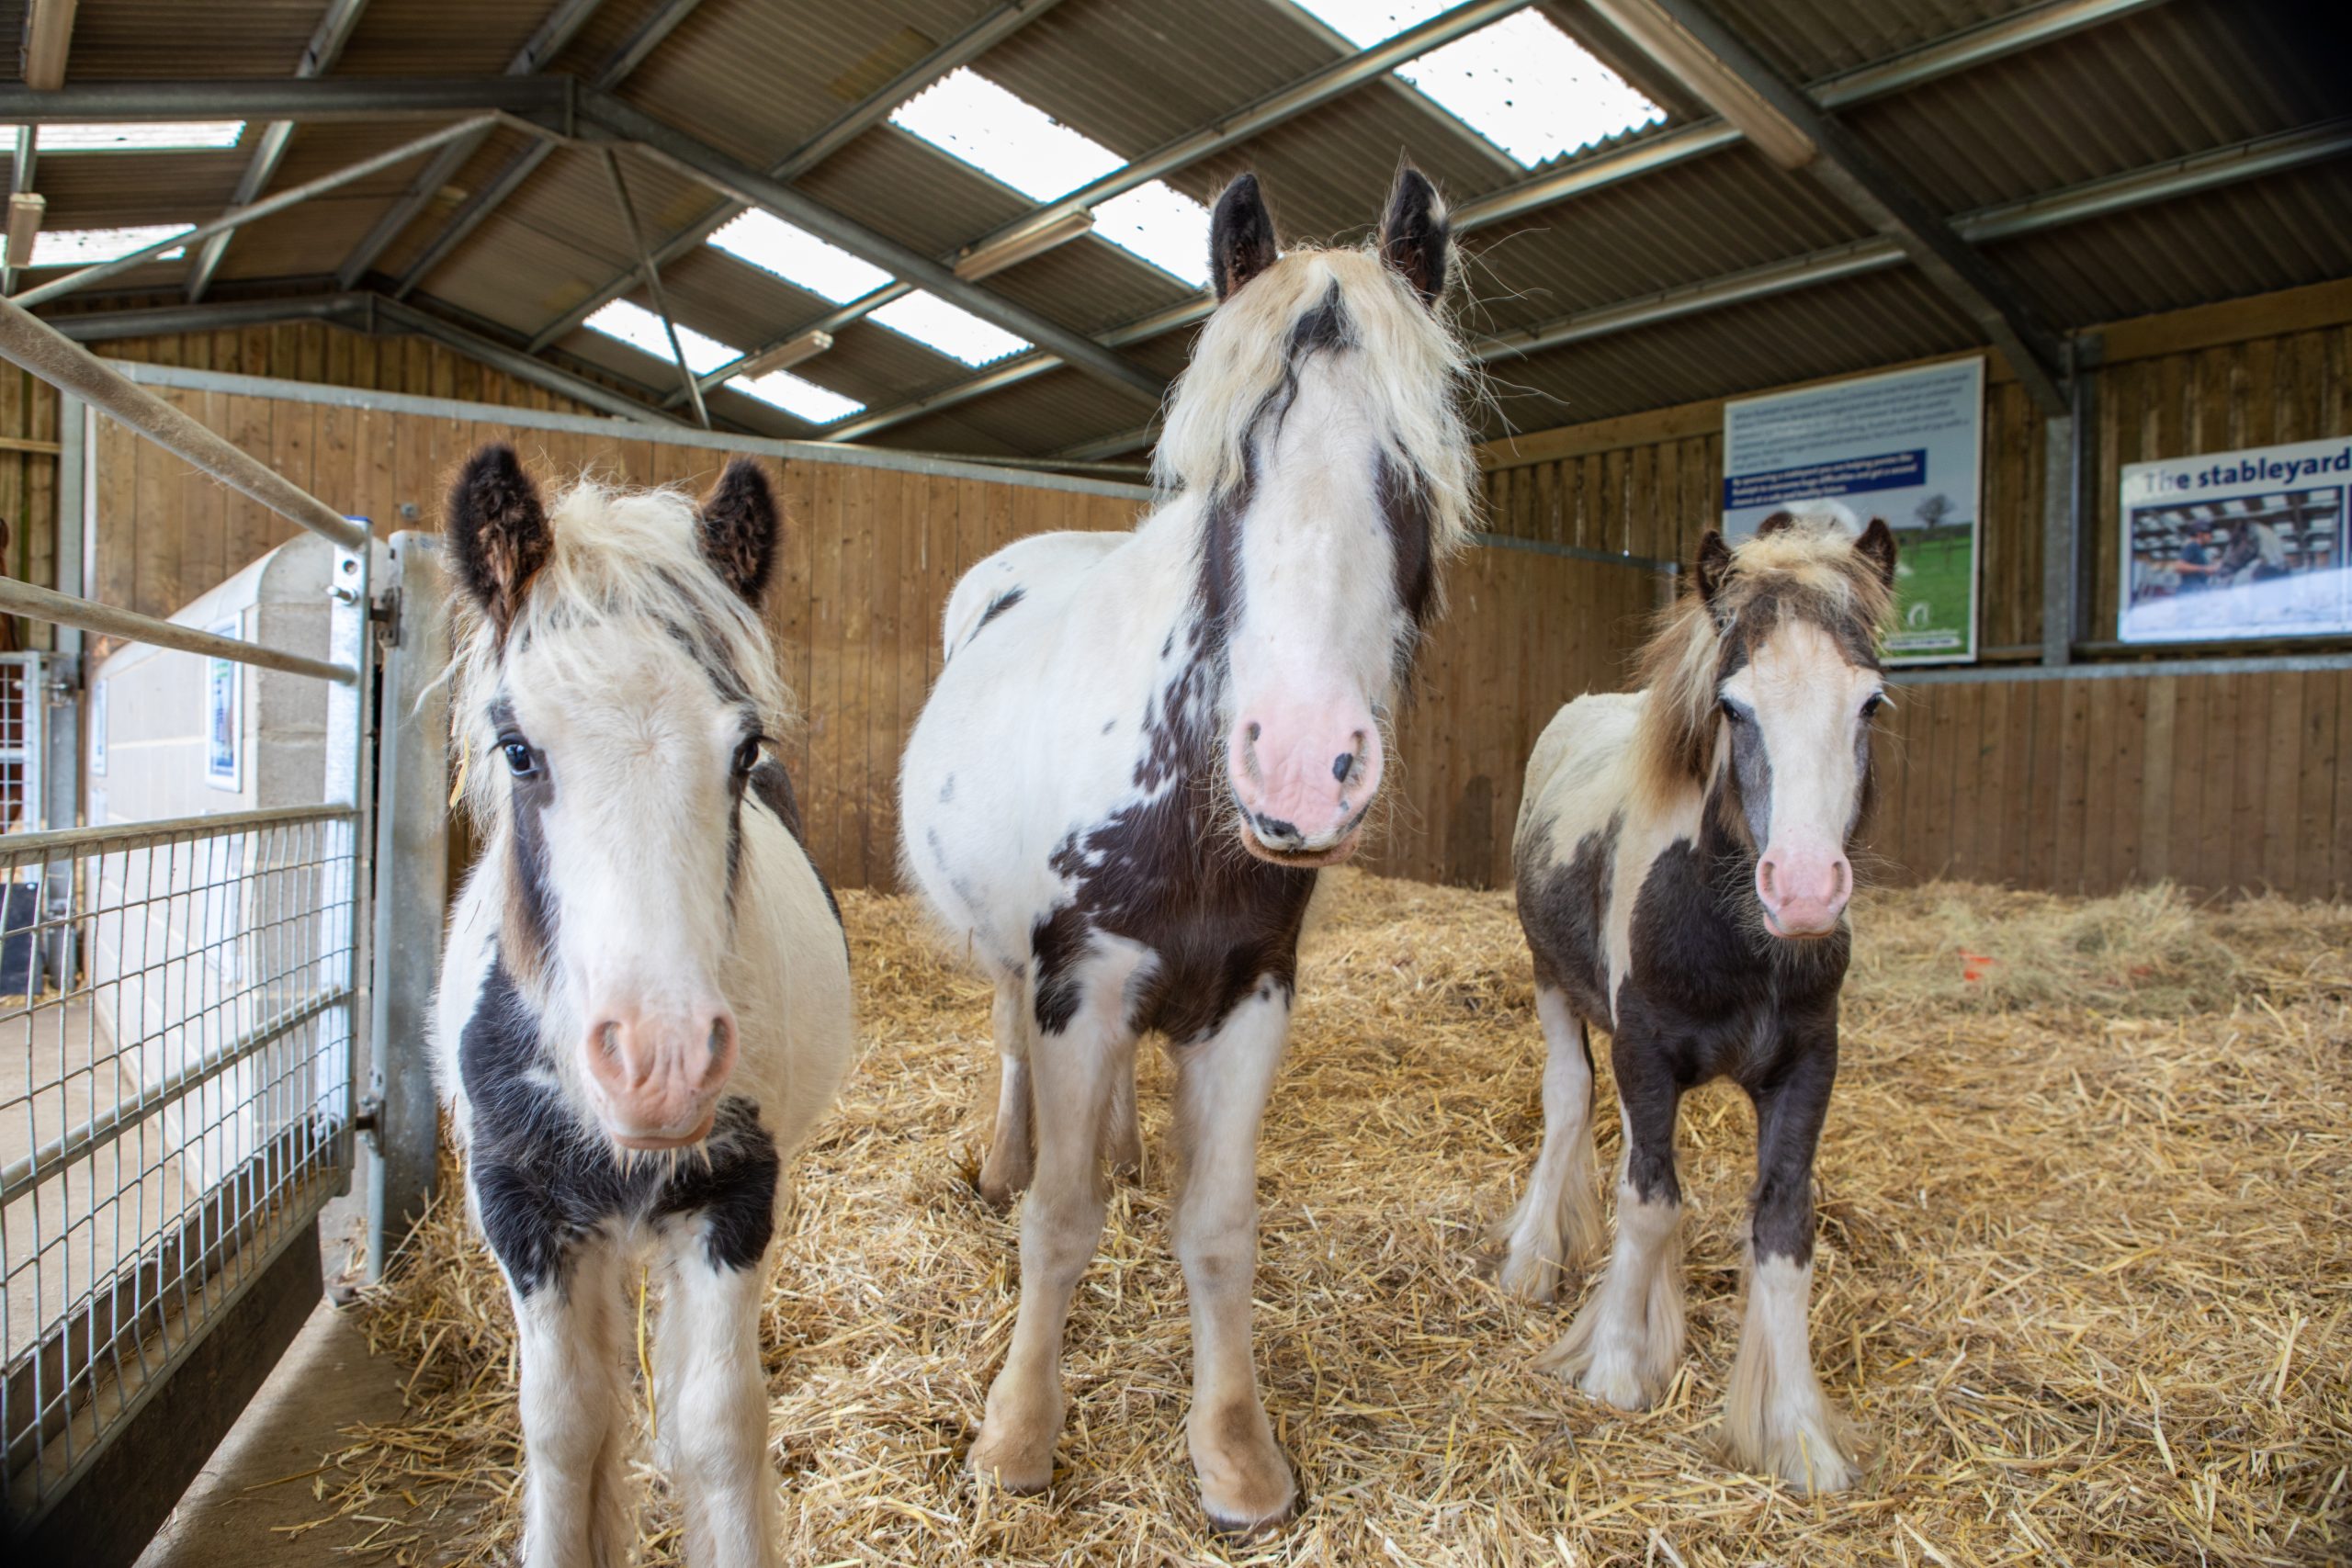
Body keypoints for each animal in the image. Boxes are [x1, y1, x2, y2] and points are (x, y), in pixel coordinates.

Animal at [431, 446, 853, 1568]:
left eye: (744, 751)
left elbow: (716, 1426)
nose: (659, 1064)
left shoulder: (735, 1197)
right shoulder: (521, 1211)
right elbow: (565, 1428)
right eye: (518, 749)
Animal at [897, 165, 1474, 1534]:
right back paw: (1007, 1155)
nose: (1302, 763)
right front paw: (1017, 1435)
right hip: (1018, 965)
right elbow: (1057, 1221)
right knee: (1014, 1053)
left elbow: (1216, 1225)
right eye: (1234, 474)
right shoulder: (1080, 976)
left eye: (1410, 471)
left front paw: (1237, 1456)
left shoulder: (1250, 990)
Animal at [1493, 504, 1897, 1493]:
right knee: (1569, 1107)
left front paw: (1798, 1434)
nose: (1803, 890)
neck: (1735, 940)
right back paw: (1533, 1261)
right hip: (1554, 985)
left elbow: (1783, 1231)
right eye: (1733, 706)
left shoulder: (1808, 1066)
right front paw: (1612, 1369)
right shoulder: (1642, 1046)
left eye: (1869, 702)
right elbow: (1646, 1203)